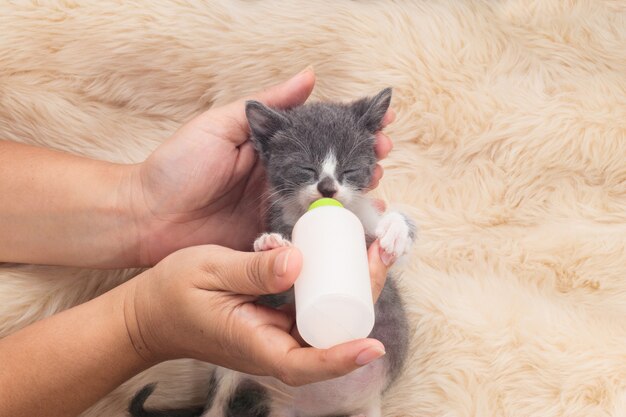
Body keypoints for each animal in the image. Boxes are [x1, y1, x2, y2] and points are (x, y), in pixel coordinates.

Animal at [128, 88, 414, 416]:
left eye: (349, 169)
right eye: (306, 168)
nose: (328, 188)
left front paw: (395, 231)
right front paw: (271, 244)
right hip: (234, 372)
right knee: (217, 401)